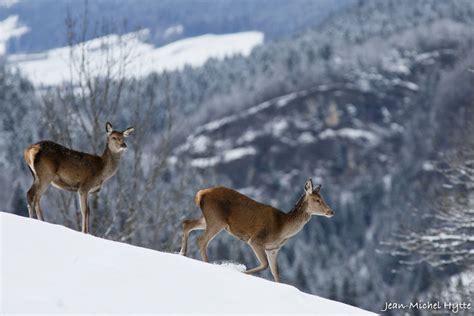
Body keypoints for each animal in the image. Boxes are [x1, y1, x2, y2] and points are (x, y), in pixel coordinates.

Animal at [181, 178, 334, 282]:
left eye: (322, 198)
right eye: (317, 200)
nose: (331, 211)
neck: (282, 228)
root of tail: (200, 194)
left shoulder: (273, 249)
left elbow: (276, 273)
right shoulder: (255, 240)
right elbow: (265, 265)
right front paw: (240, 270)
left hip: (208, 219)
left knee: (187, 223)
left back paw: (183, 253)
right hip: (216, 219)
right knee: (201, 240)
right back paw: (207, 263)